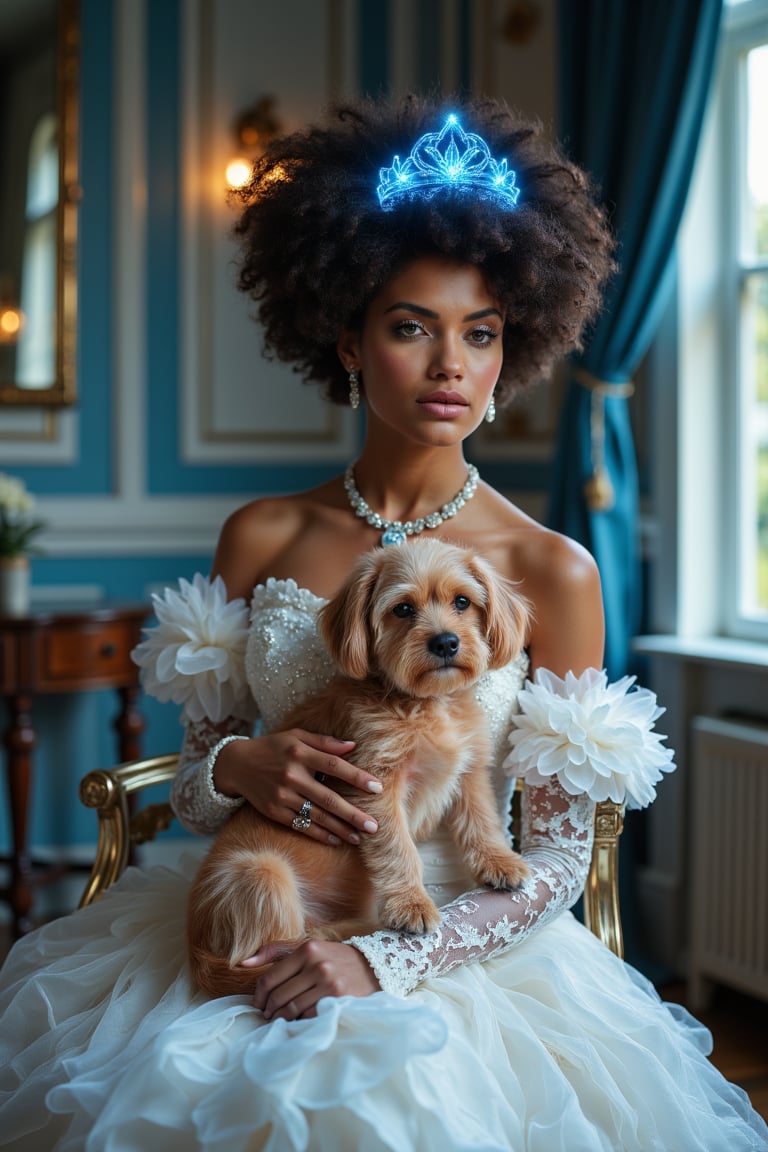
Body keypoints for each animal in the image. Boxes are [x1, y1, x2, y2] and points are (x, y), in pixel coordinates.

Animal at [188, 539, 531, 999]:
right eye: (402, 609)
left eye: (462, 601)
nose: (445, 643)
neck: (426, 703)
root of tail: (197, 953)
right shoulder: (376, 785)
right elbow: (398, 849)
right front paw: (411, 903)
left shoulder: (468, 771)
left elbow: (482, 819)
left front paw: (499, 861)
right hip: (260, 873)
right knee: (264, 951)